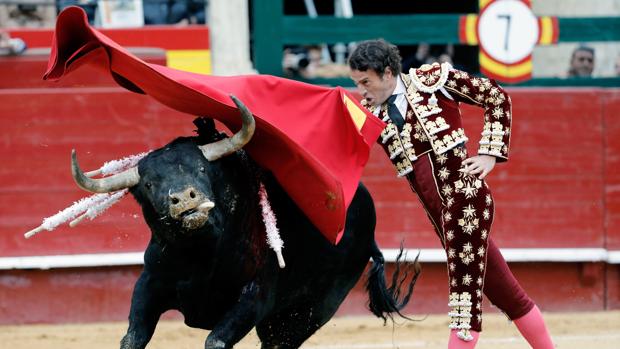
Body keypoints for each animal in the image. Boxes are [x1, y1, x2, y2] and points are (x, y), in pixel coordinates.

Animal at [69, 96, 422, 348]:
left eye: (201, 169)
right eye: (148, 183)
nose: (185, 198)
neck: (199, 253)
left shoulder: (253, 297)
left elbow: (215, 340)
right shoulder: (150, 283)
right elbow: (133, 337)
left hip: (312, 310)